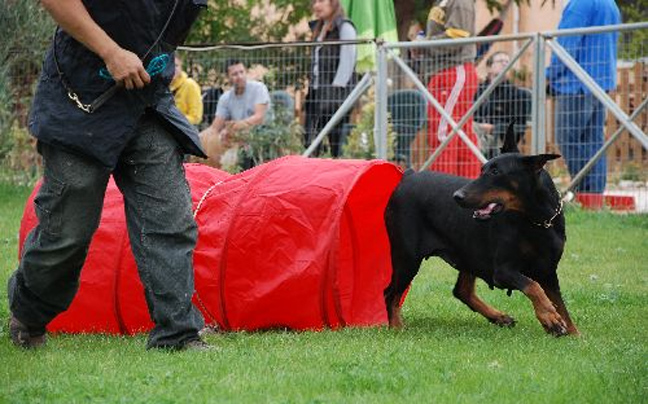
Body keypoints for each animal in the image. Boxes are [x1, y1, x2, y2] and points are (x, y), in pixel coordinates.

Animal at [384, 124, 576, 338]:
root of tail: (407, 176)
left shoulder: (548, 271)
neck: (537, 220)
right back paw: (396, 327)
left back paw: (499, 317)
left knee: (462, 290)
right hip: (408, 257)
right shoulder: (503, 270)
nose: (457, 196)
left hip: (469, 250)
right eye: (482, 169)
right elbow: (532, 286)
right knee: (391, 293)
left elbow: (560, 304)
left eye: (496, 172)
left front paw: (573, 333)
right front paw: (550, 318)